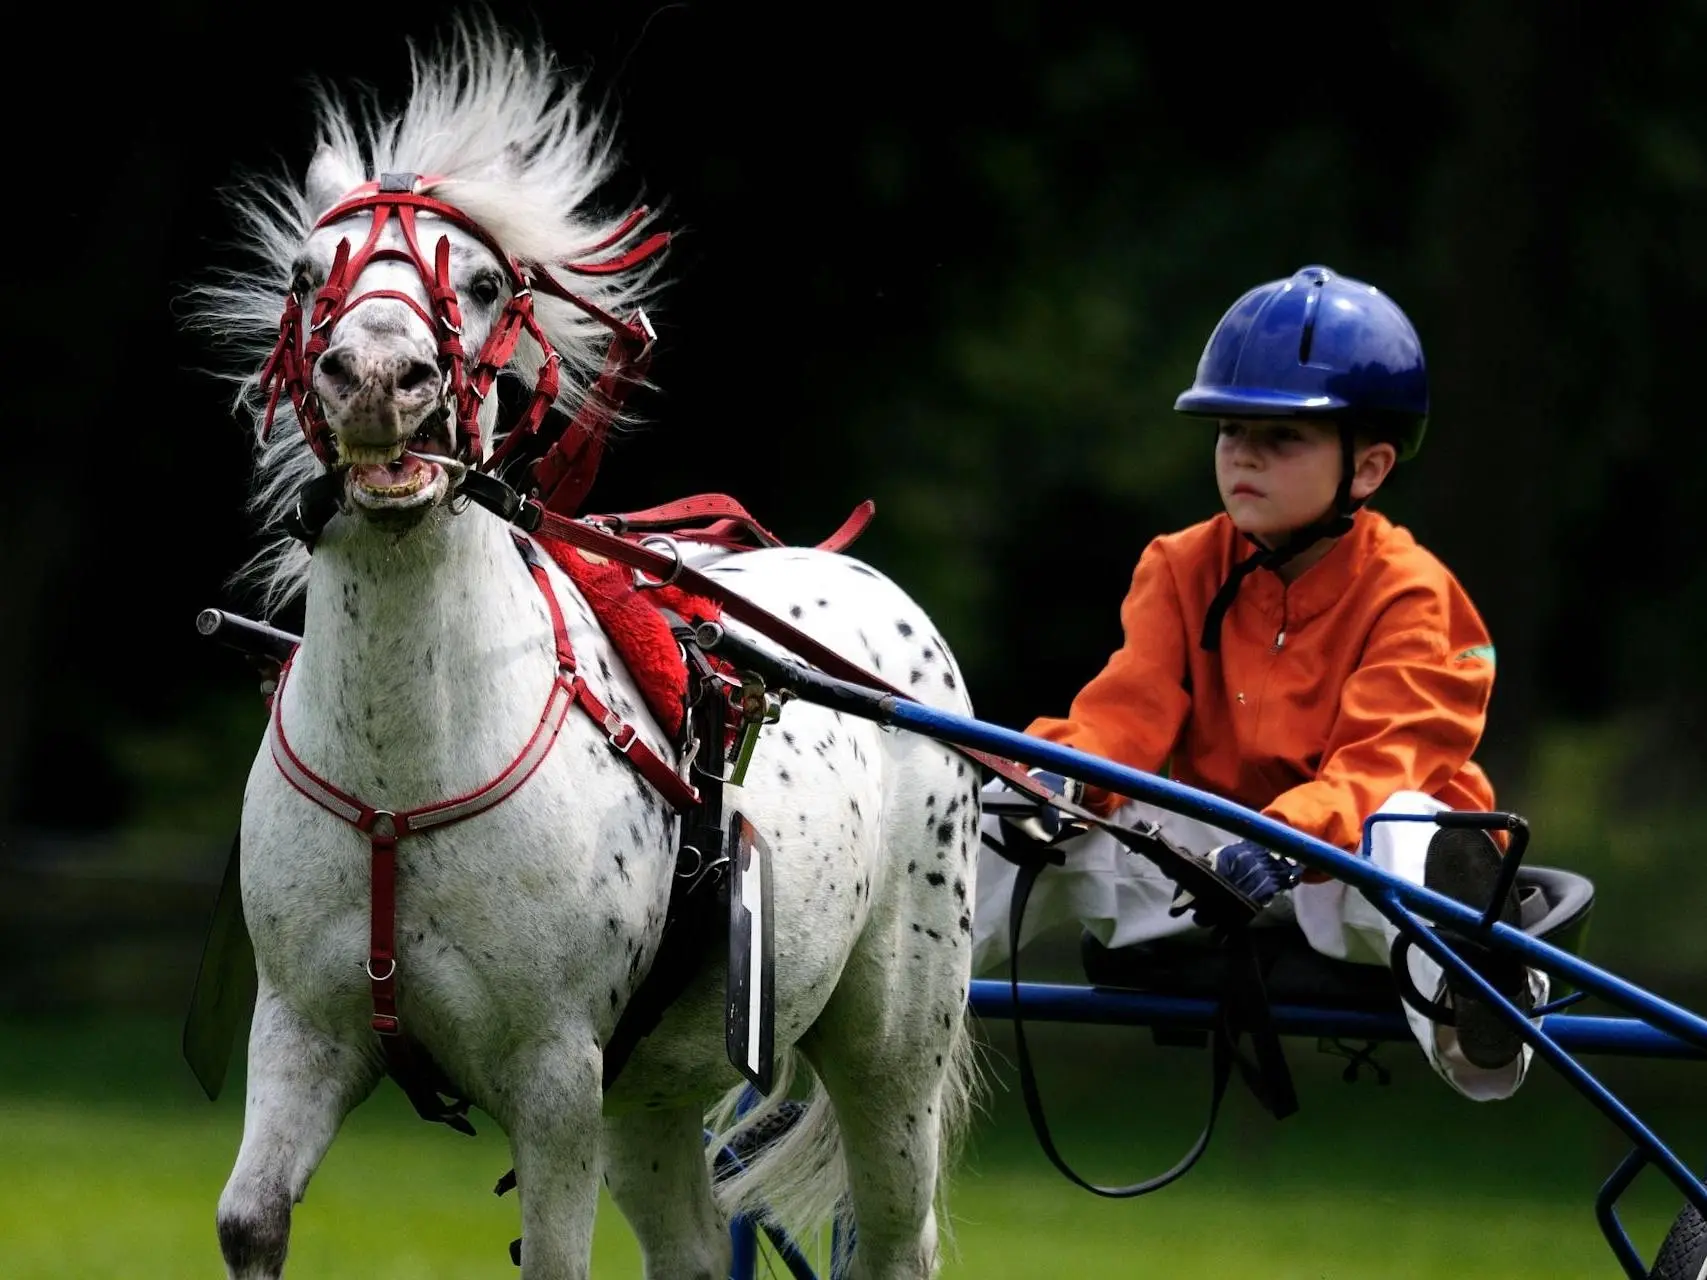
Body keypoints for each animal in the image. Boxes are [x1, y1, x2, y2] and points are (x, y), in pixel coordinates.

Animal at [190, 20, 976, 1280]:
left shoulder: (555, 1069)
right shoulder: (303, 1024)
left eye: (480, 282)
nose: (378, 378)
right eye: (314, 277)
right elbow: (251, 1216)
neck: (402, 770)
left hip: (891, 1045)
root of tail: (878, 595)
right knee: (695, 1247)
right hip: (651, 1095)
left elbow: (555, 1255)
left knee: (898, 1232)